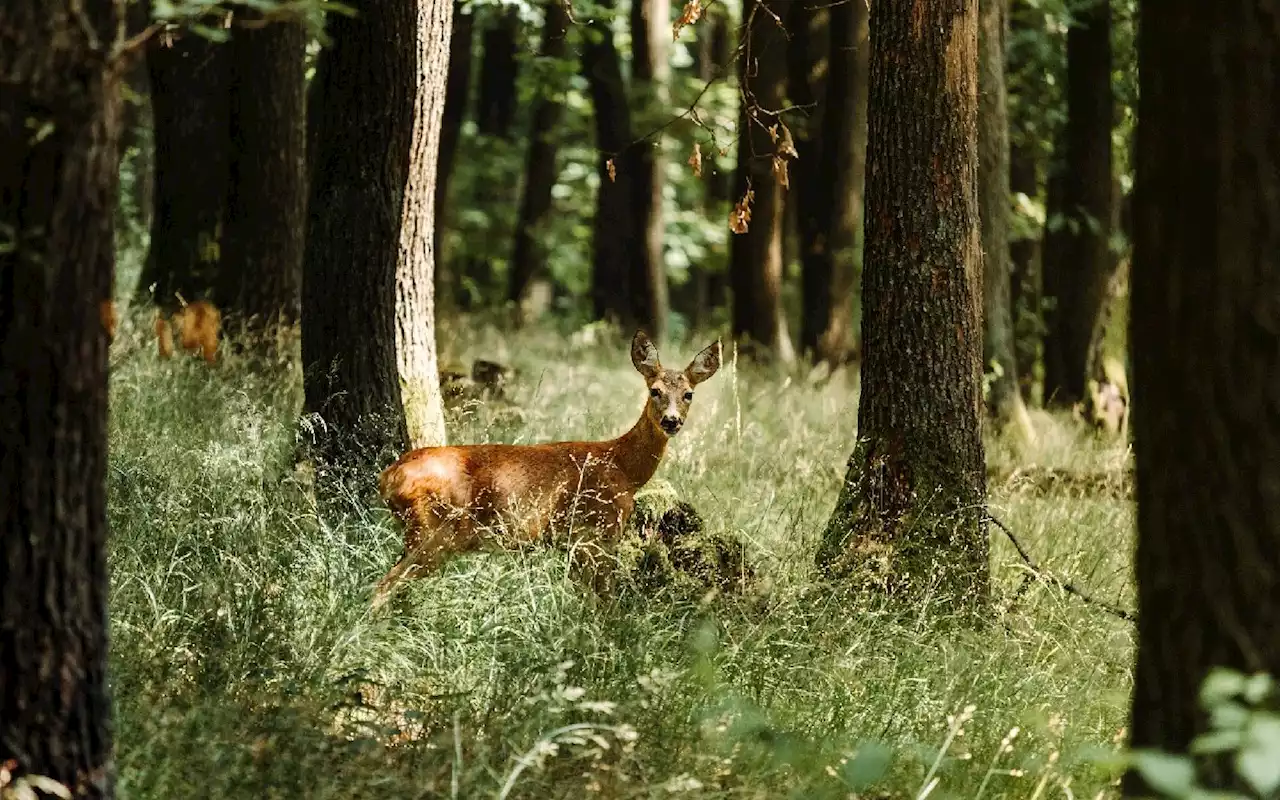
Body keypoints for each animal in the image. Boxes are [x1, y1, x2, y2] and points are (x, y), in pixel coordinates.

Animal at [371, 330, 727, 604]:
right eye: (655, 391)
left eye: (688, 394)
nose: (671, 421)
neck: (623, 467)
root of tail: (388, 477)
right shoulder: (592, 533)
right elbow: (605, 601)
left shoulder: (574, 543)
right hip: (434, 530)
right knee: (384, 585)